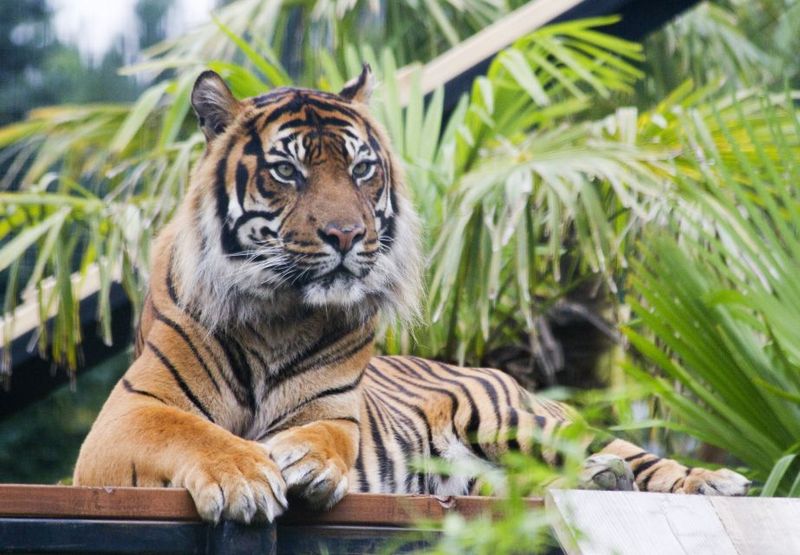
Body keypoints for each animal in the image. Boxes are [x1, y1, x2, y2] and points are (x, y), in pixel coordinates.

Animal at [74, 66, 750, 524]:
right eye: (287, 171)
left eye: (361, 169)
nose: (346, 235)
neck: (277, 313)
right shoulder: (123, 418)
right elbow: (190, 433)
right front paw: (243, 475)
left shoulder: (332, 411)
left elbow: (324, 435)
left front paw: (302, 461)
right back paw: (603, 479)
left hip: (515, 417)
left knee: (634, 456)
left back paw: (712, 482)